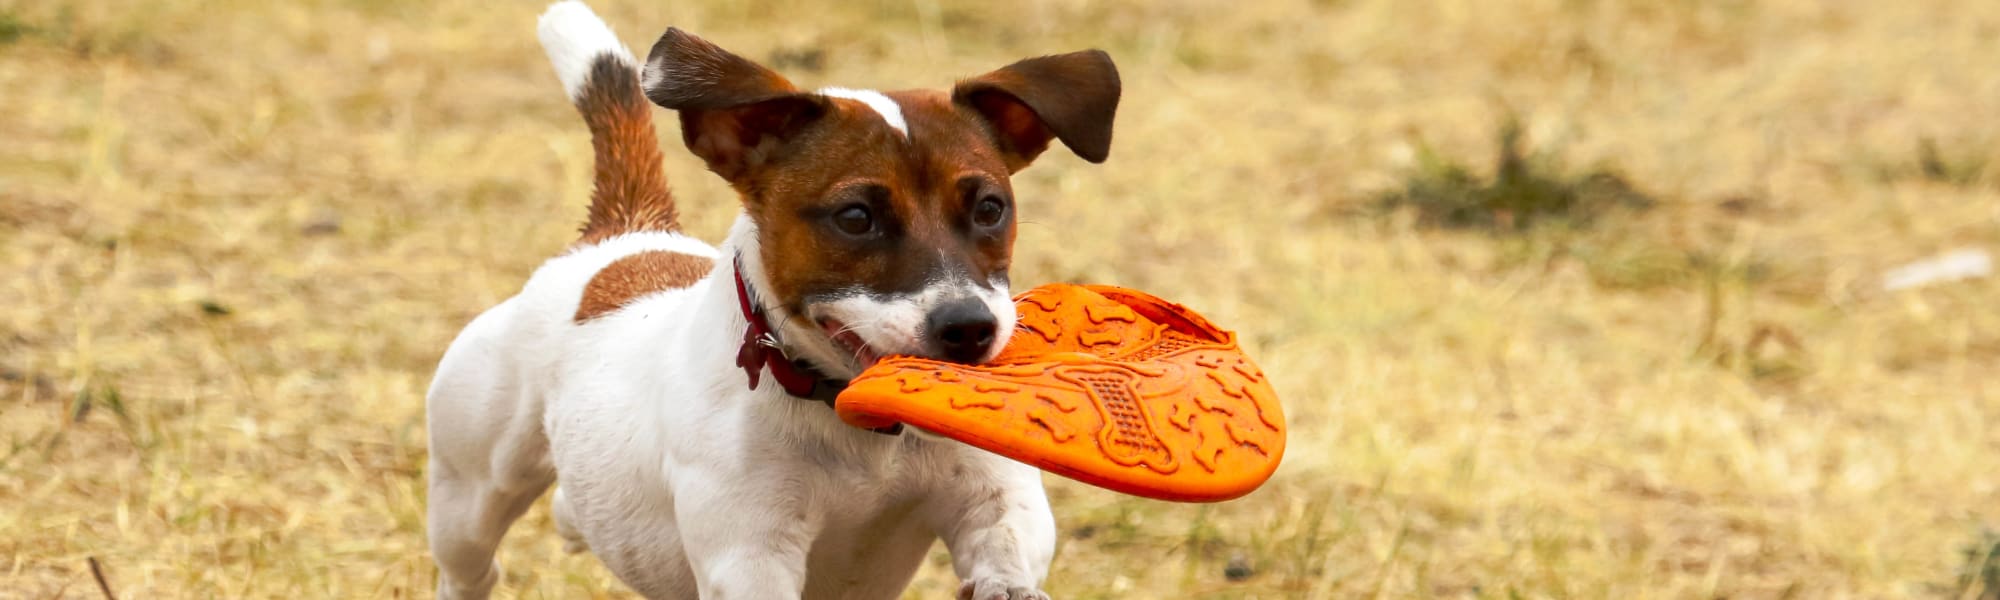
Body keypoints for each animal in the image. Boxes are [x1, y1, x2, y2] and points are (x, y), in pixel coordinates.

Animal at [424, 2, 1120, 596]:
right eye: (856, 217)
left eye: (989, 208)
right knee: (470, 564)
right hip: (470, 496)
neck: (859, 426)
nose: (970, 328)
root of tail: (624, 233)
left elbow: (1005, 543)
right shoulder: (750, 554)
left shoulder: (995, 499)